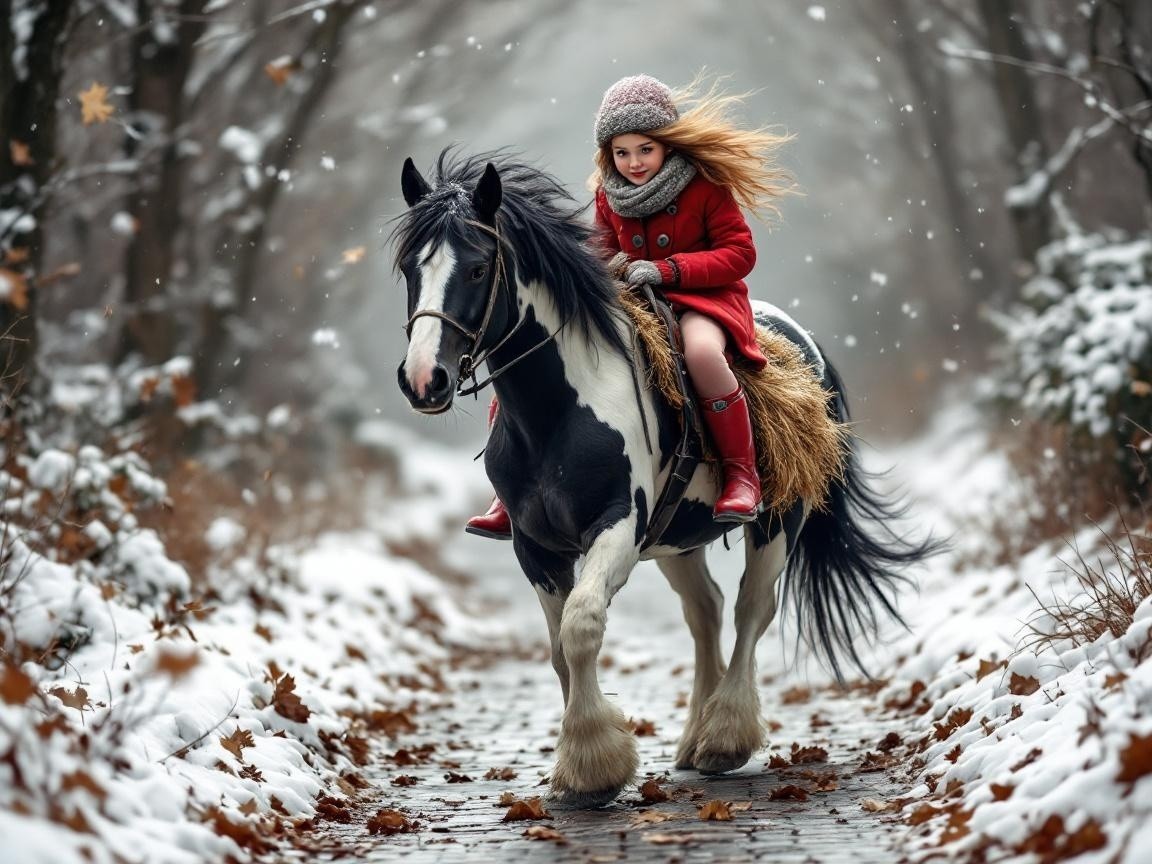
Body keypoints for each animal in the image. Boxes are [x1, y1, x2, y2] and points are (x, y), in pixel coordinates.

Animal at [394, 150, 935, 809]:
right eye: (409, 269)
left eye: (475, 268)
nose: (425, 380)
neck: (558, 409)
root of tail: (801, 344)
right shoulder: (534, 546)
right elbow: (558, 650)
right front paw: (578, 766)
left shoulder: (619, 529)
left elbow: (581, 627)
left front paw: (594, 766)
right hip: (677, 540)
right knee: (706, 611)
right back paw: (694, 738)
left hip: (777, 522)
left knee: (752, 609)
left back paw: (724, 738)